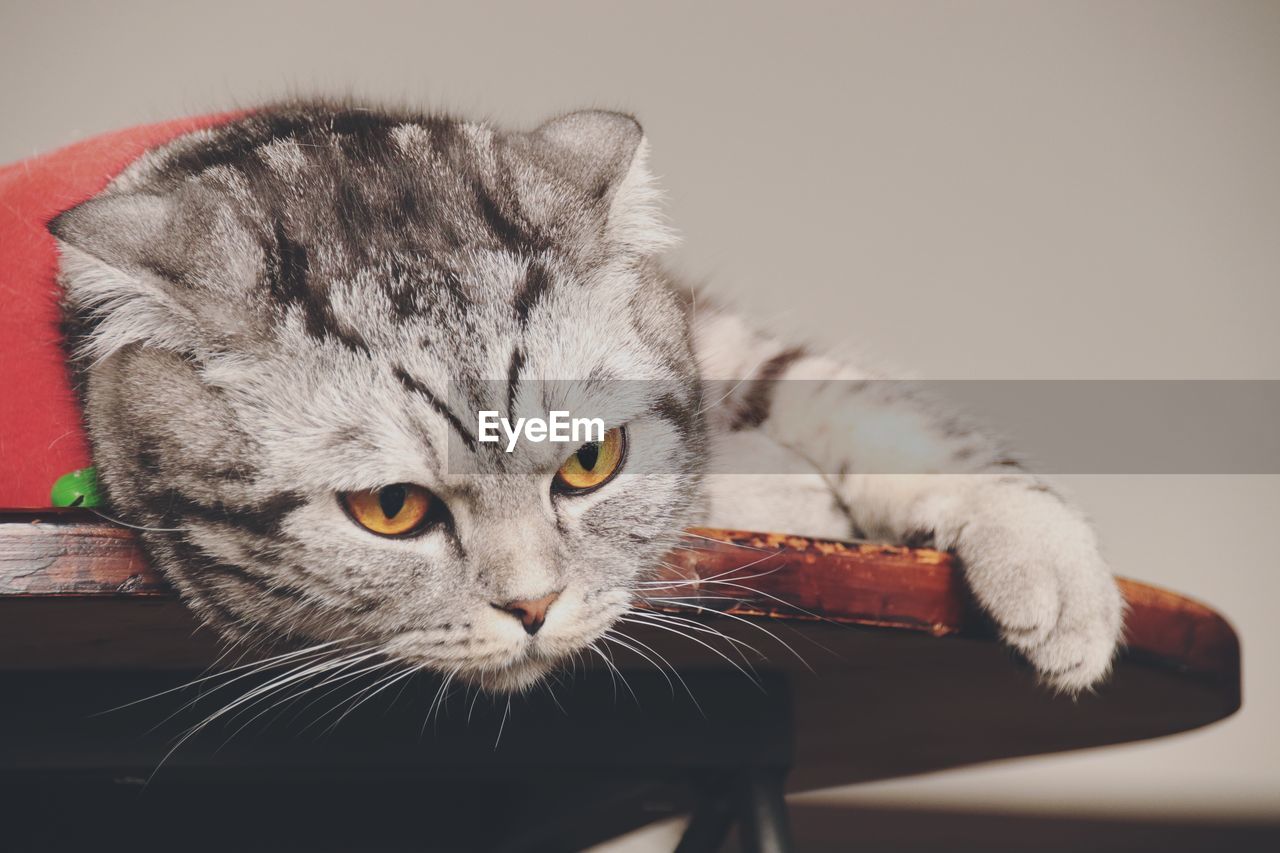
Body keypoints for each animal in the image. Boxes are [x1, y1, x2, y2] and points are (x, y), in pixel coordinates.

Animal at [47, 103, 1121, 696]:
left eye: (590, 460)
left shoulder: (714, 334)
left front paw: (1053, 563)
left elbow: (858, 404)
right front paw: (779, 493)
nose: (533, 606)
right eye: (390, 509)